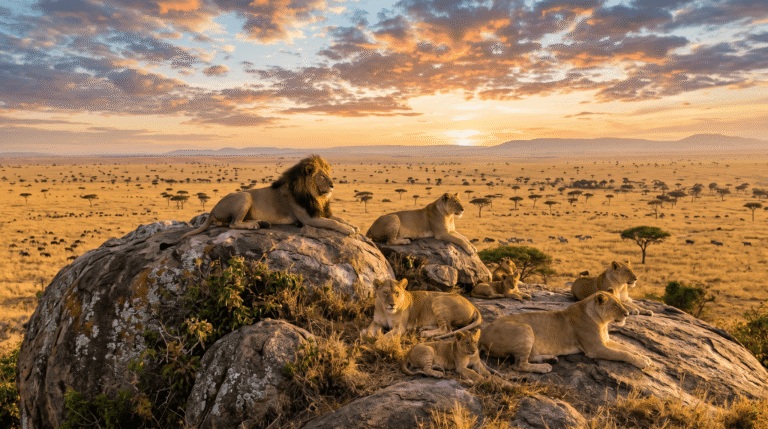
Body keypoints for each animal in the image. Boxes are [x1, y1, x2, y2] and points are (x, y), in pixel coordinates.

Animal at [159, 155, 359, 250]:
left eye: (329, 174)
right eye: (322, 176)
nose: (333, 185)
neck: (315, 195)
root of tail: (212, 210)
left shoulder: (319, 211)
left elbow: (339, 218)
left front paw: (353, 226)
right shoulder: (308, 218)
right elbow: (332, 223)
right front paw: (349, 230)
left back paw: (261, 223)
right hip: (245, 196)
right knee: (233, 224)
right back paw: (254, 225)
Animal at [479, 290, 651, 373]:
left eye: (620, 302)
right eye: (615, 305)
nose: (627, 314)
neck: (602, 322)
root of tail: (482, 335)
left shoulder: (606, 341)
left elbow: (626, 348)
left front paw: (644, 357)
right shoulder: (595, 349)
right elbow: (623, 354)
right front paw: (641, 362)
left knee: (529, 357)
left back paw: (550, 358)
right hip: (525, 329)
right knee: (518, 365)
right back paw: (544, 367)